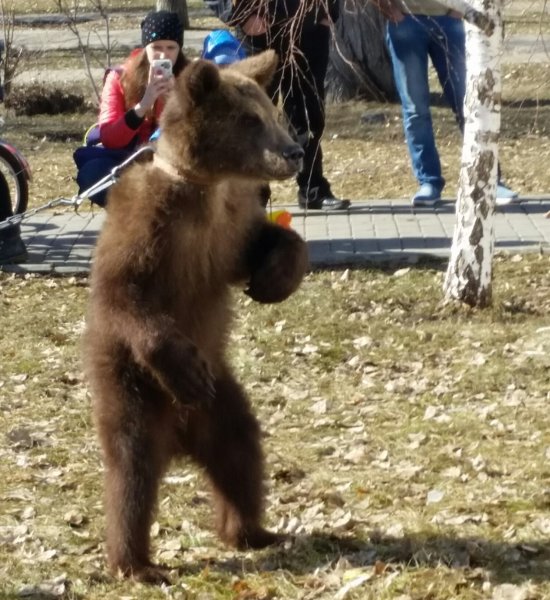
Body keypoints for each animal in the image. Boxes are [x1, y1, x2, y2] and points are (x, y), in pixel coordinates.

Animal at [85, 49, 310, 584]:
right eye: (250, 120)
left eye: (272, 111)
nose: (294, 151)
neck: (205, 185)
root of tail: (181, 434)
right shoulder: (150, 229)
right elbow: (124, 294)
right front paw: (183, 367)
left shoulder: (229, 226)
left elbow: (262, 243)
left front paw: (273, 278)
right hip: (132, 388)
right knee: (132, 470)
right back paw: (136, 563)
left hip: (223, 402)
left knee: (240, 452)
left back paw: (252, 530)